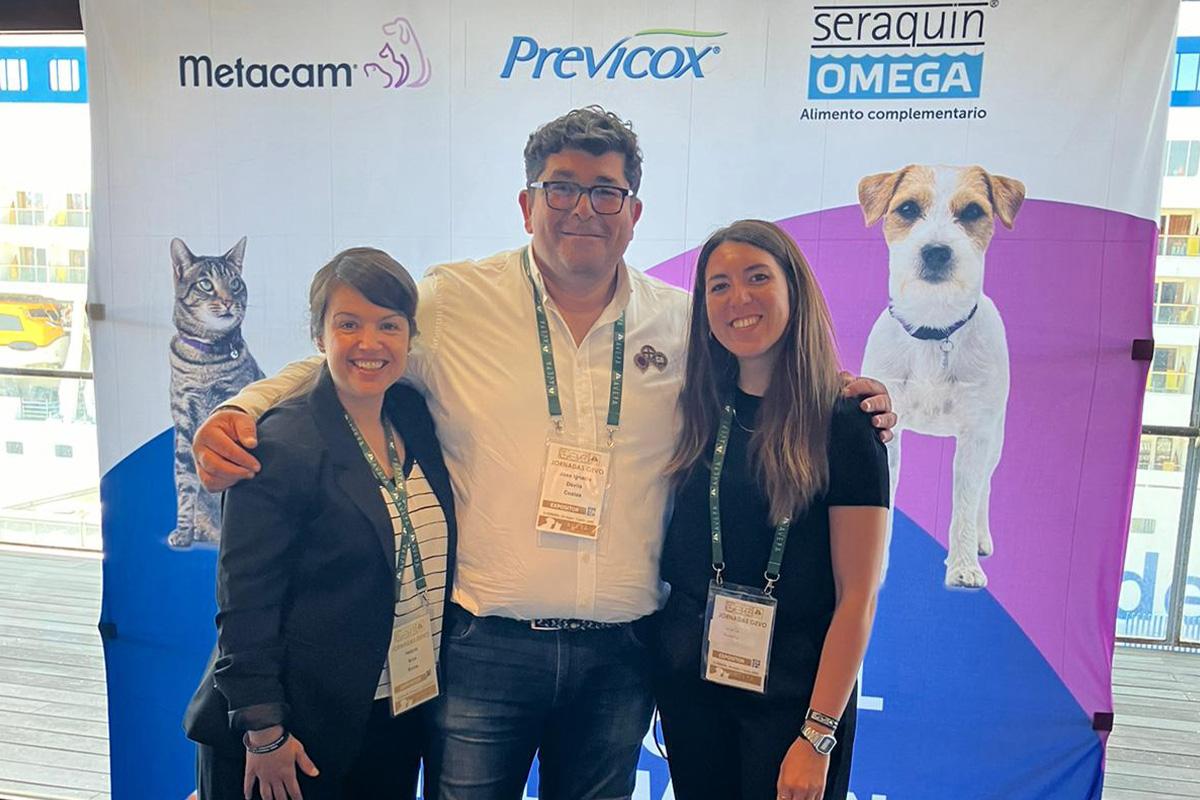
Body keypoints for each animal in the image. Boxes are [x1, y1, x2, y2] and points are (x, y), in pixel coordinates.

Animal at [167, 237, 264, 548]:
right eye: (205, 284)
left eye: (234, 283)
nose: (228, 301)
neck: (206, 361)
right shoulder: (184, 422)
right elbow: (185, 482)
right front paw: (183, 531)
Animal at [857, 165, 1024, 589]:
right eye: (907, 208)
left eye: (972, 212)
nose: (936, 251)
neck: (934, 329)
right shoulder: (886, 429)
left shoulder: (975, 436)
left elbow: (964, 502)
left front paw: (964, 566)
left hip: (994, 439)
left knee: (983, 489)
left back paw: (980, 539)